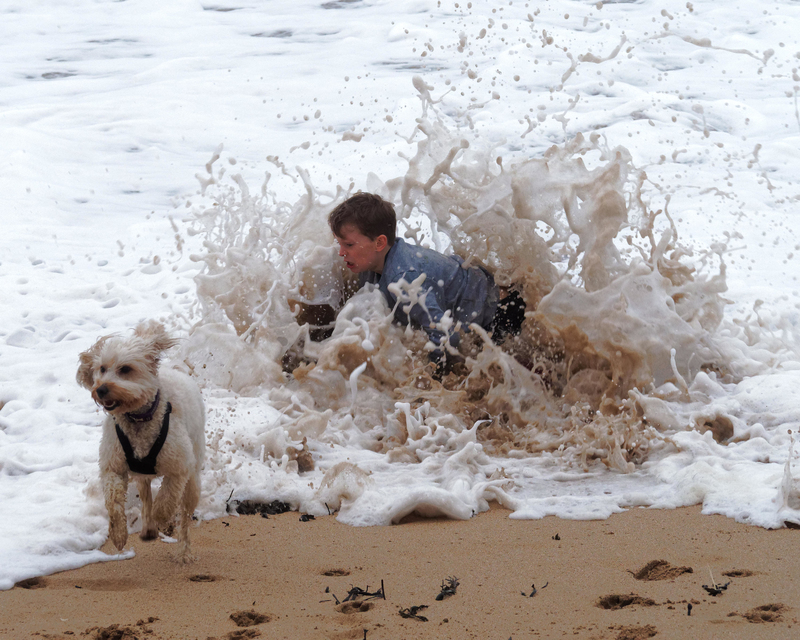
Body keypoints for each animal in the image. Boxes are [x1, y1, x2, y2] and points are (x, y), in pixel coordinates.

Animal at [76, 322, 205, 564]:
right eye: (102, 368)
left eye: (125, 369)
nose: (101, 389)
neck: (138, 417)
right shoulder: (113, 465)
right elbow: (113, 501)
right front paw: (118, 534)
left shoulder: (179, 465)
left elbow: (168, 496)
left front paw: (163, 518)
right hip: (141, 475)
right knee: (145, 496)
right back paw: (148, 529)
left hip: (193, 474)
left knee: (185, 515)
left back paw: (183, 551)